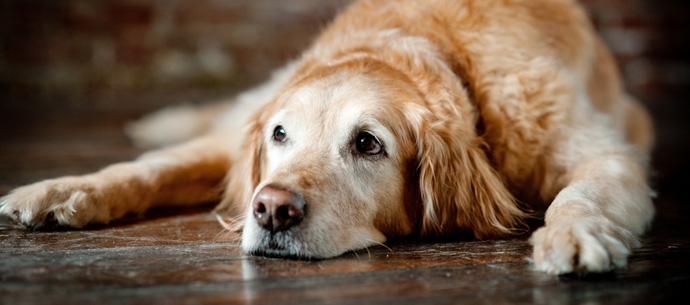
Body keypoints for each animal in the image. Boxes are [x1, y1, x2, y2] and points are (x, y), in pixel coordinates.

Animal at [0, 0, 652, 274]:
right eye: (281, 134)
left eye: (368, 144)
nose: (271, 210)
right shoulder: (241, 142)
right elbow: (150, 167)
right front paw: (59, 191)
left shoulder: (602, 150)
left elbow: (580, 194)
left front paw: (570, 235)